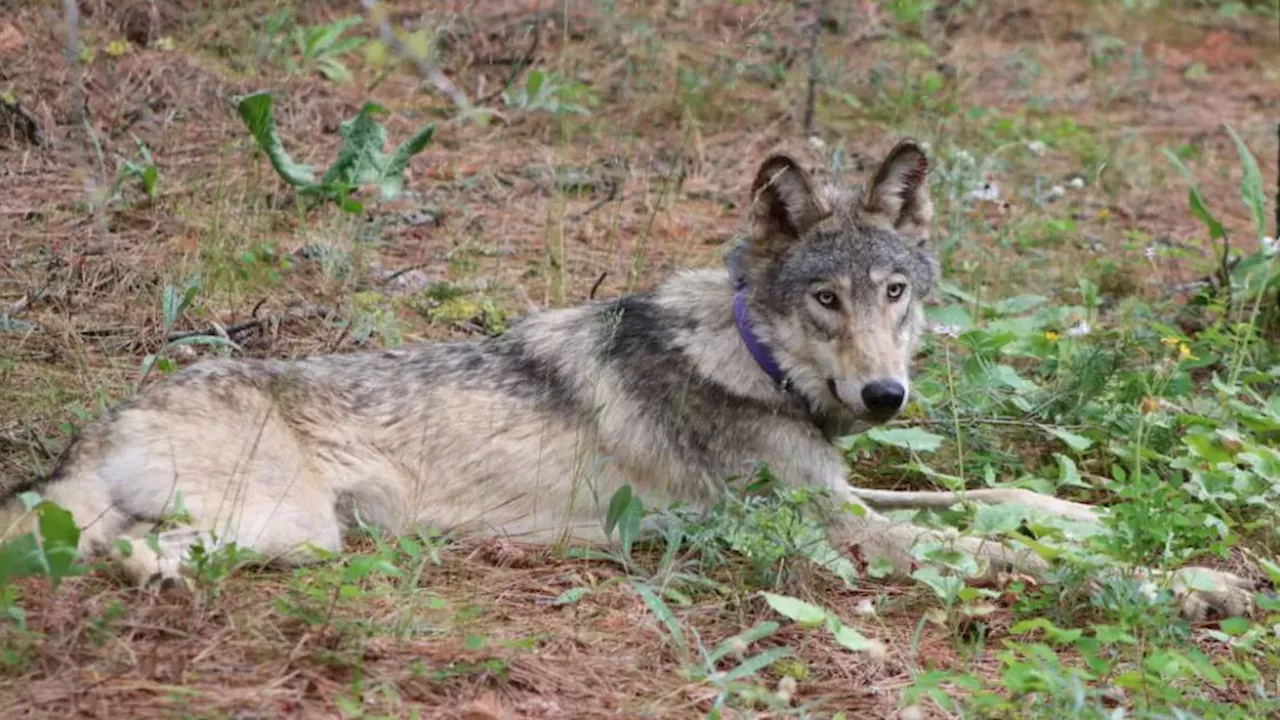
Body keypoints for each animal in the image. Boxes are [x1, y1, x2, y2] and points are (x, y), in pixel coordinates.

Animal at [0, 141, 1258, 621]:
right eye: (826, 301)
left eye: (894, 293)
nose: (883, 400)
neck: (750, 359)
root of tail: (106, 418)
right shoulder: (835, 534)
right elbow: (1001, 555)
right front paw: (1190, 583)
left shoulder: (844, 496)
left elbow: (1005, 501)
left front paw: (1102, 524)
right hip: (291, 530)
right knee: (122, 550)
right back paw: (154, 577)